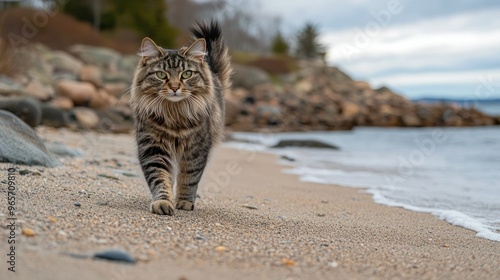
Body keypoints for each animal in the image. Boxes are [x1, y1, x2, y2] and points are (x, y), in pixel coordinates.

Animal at [129, 21, 230, 215]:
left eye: (186, 74)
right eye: (161, 75)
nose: (175, 87)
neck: (174, 113)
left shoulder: (196, 150)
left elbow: (189, 178)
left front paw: (184, 202)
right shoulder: (154, 148)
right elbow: (160, 178)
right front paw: (163, 201)